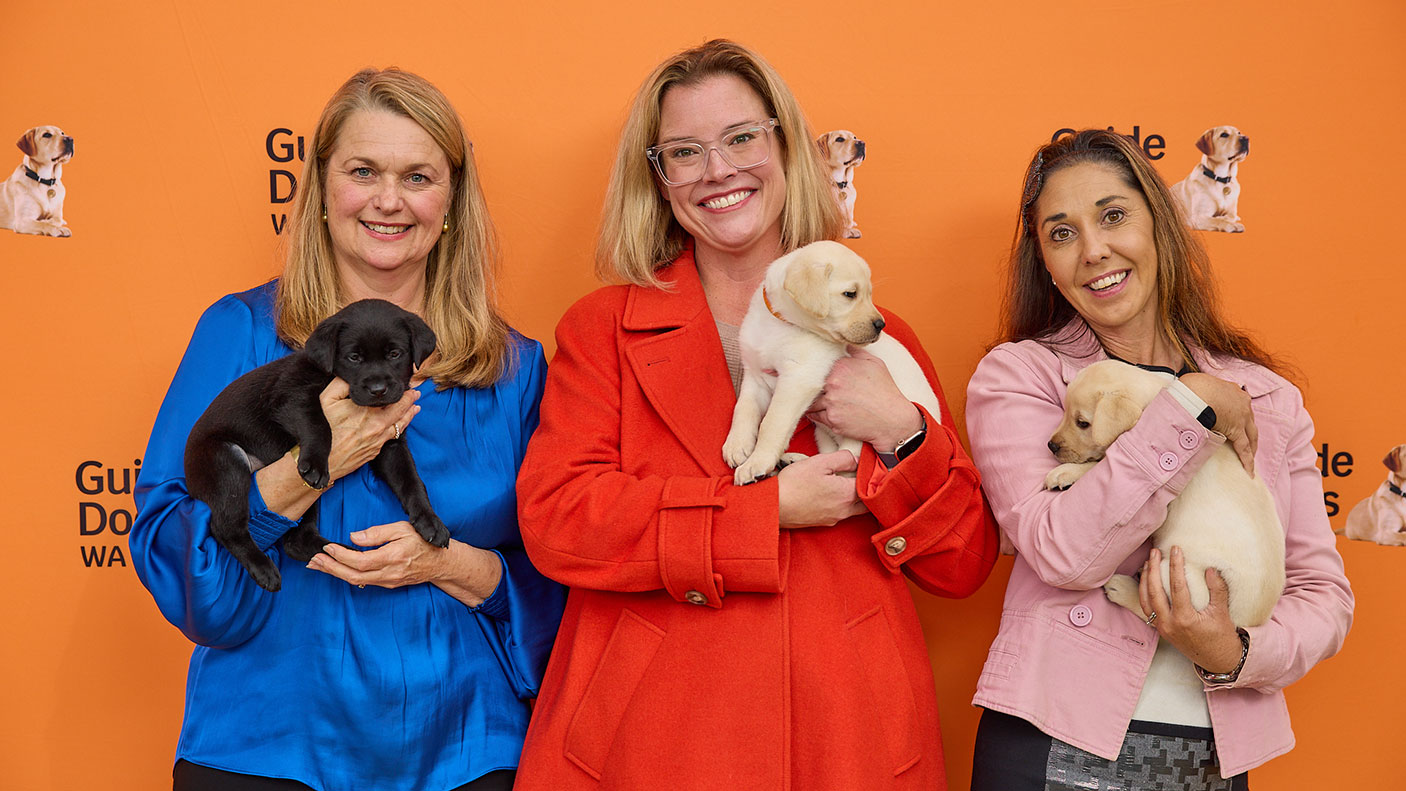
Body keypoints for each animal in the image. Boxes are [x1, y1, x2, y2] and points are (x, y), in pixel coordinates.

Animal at [184, 300, 449, 590]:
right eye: (354, 357)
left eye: (394, 354)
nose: (378, 390)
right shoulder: (292, 396)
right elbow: (318, 422)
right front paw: (315, 463)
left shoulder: (391, 444)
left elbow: (411, 480)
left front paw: (430, 521)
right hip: (226, 462)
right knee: (226, 527)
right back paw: (263, 568)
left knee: (295, 541)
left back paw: (345, 554)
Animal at [719, 241, 939, 486]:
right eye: (850, 294)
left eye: (869, 294)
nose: (880, 324)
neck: (781, 324)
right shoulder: (755, 377)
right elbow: (743, 409)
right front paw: (737, 445)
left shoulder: (799, 378)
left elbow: (772, 422)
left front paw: (757, 462)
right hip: (822, 434)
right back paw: (793, 460)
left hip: (856, 434)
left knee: (850, 463)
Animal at [1046, 362, 1287, 629]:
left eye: (1083, 423)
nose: (1051, 446)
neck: (1155, 396)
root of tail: (1244, 621)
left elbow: (1100, 464)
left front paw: (1065, 472)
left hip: (1177, 576)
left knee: (1155, 613)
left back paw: (1123, 589)